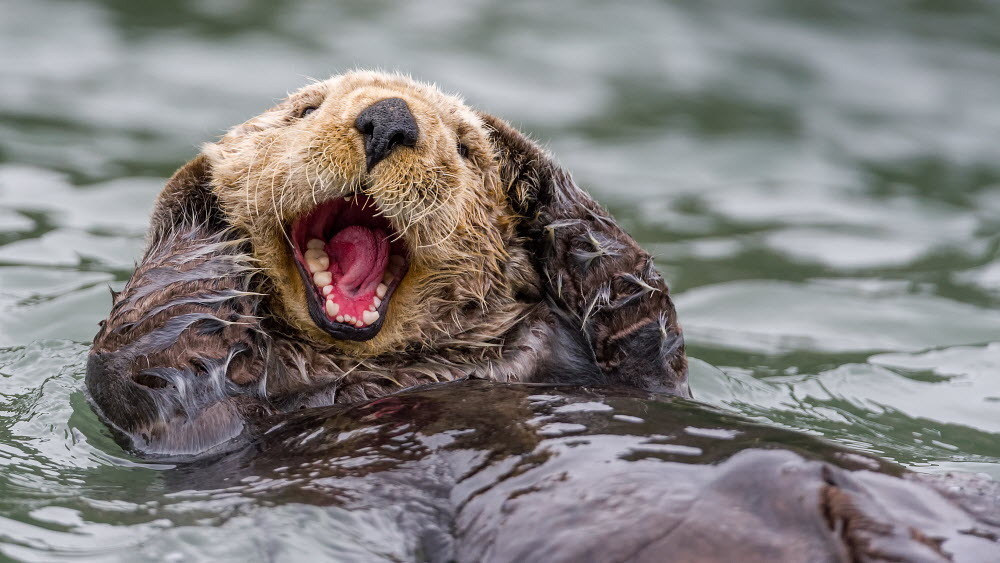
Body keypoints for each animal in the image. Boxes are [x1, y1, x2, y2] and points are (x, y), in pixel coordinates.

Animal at [86, 71, 688, 458]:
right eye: (305, 110)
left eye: (465, 149)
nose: (390, 118)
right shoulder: (187, 416)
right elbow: (156, 358)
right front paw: (202, 200)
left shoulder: (634, 370)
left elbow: (644, 322)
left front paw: (522, 158)